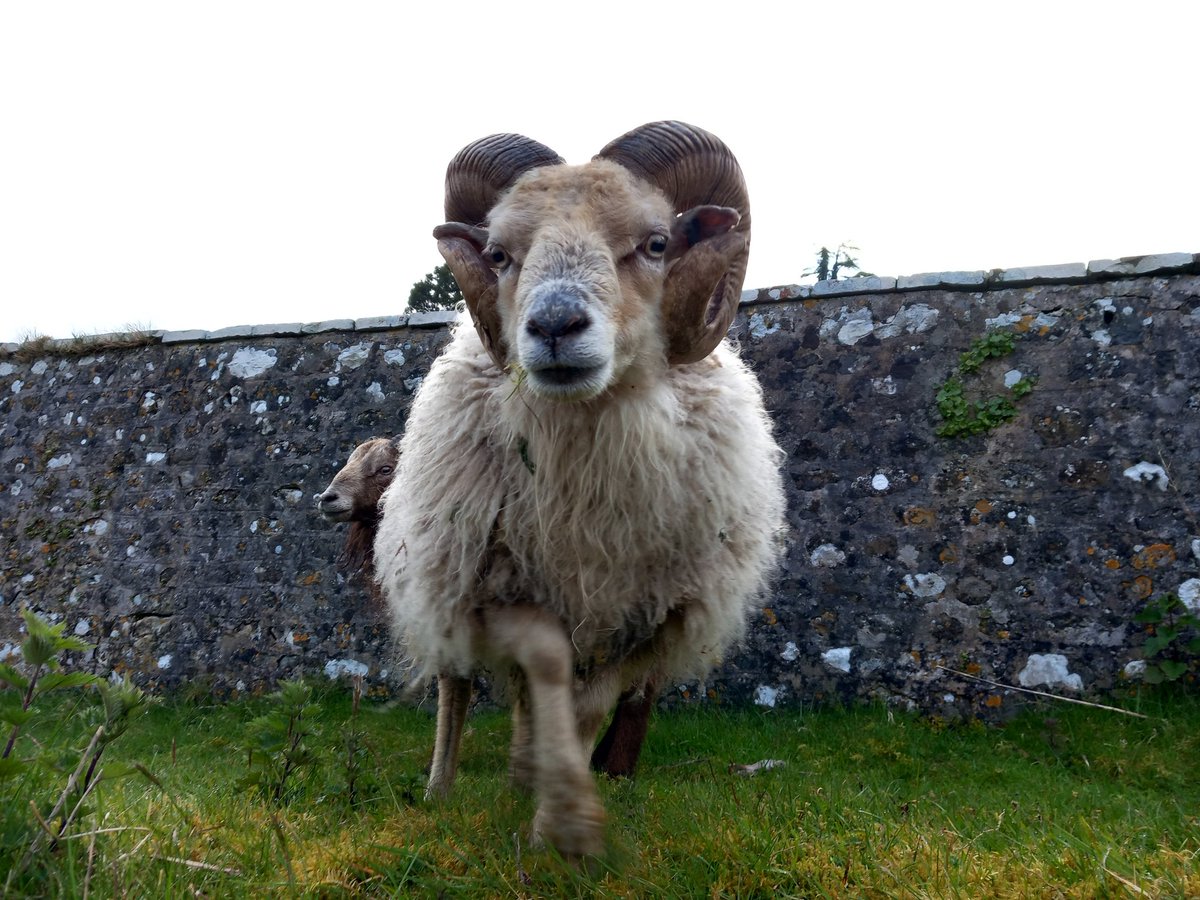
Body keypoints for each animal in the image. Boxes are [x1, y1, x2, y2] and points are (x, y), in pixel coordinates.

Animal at [374, 121, 787, 859]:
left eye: (656, 243)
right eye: (500, 254)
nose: (555, 327)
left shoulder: (647, 616)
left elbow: (588, 707)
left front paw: (555, 823)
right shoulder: (503, 587)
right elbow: (543, 673)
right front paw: (559, 815)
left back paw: (521, 779)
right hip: (443, 569)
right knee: (457, 687)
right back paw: (443, 790)